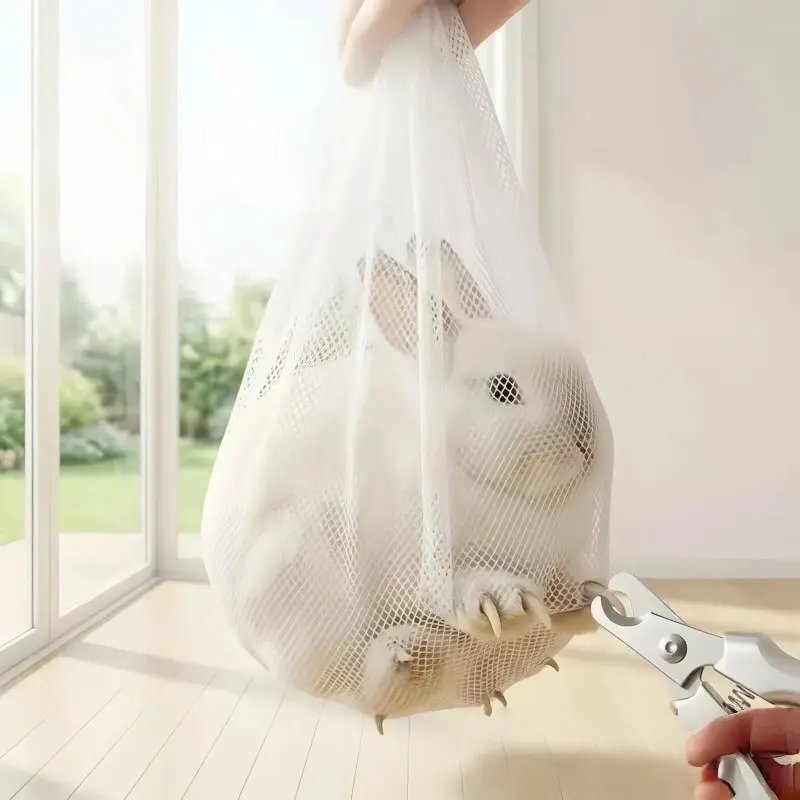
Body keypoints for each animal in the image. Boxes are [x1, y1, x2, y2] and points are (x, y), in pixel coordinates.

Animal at [201, 234, 608, 720]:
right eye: (503, 390)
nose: (587, 442)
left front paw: (587, 593)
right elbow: (447, 585)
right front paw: (502, 600)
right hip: (300, 568)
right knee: (361, 688)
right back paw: (408, 654)